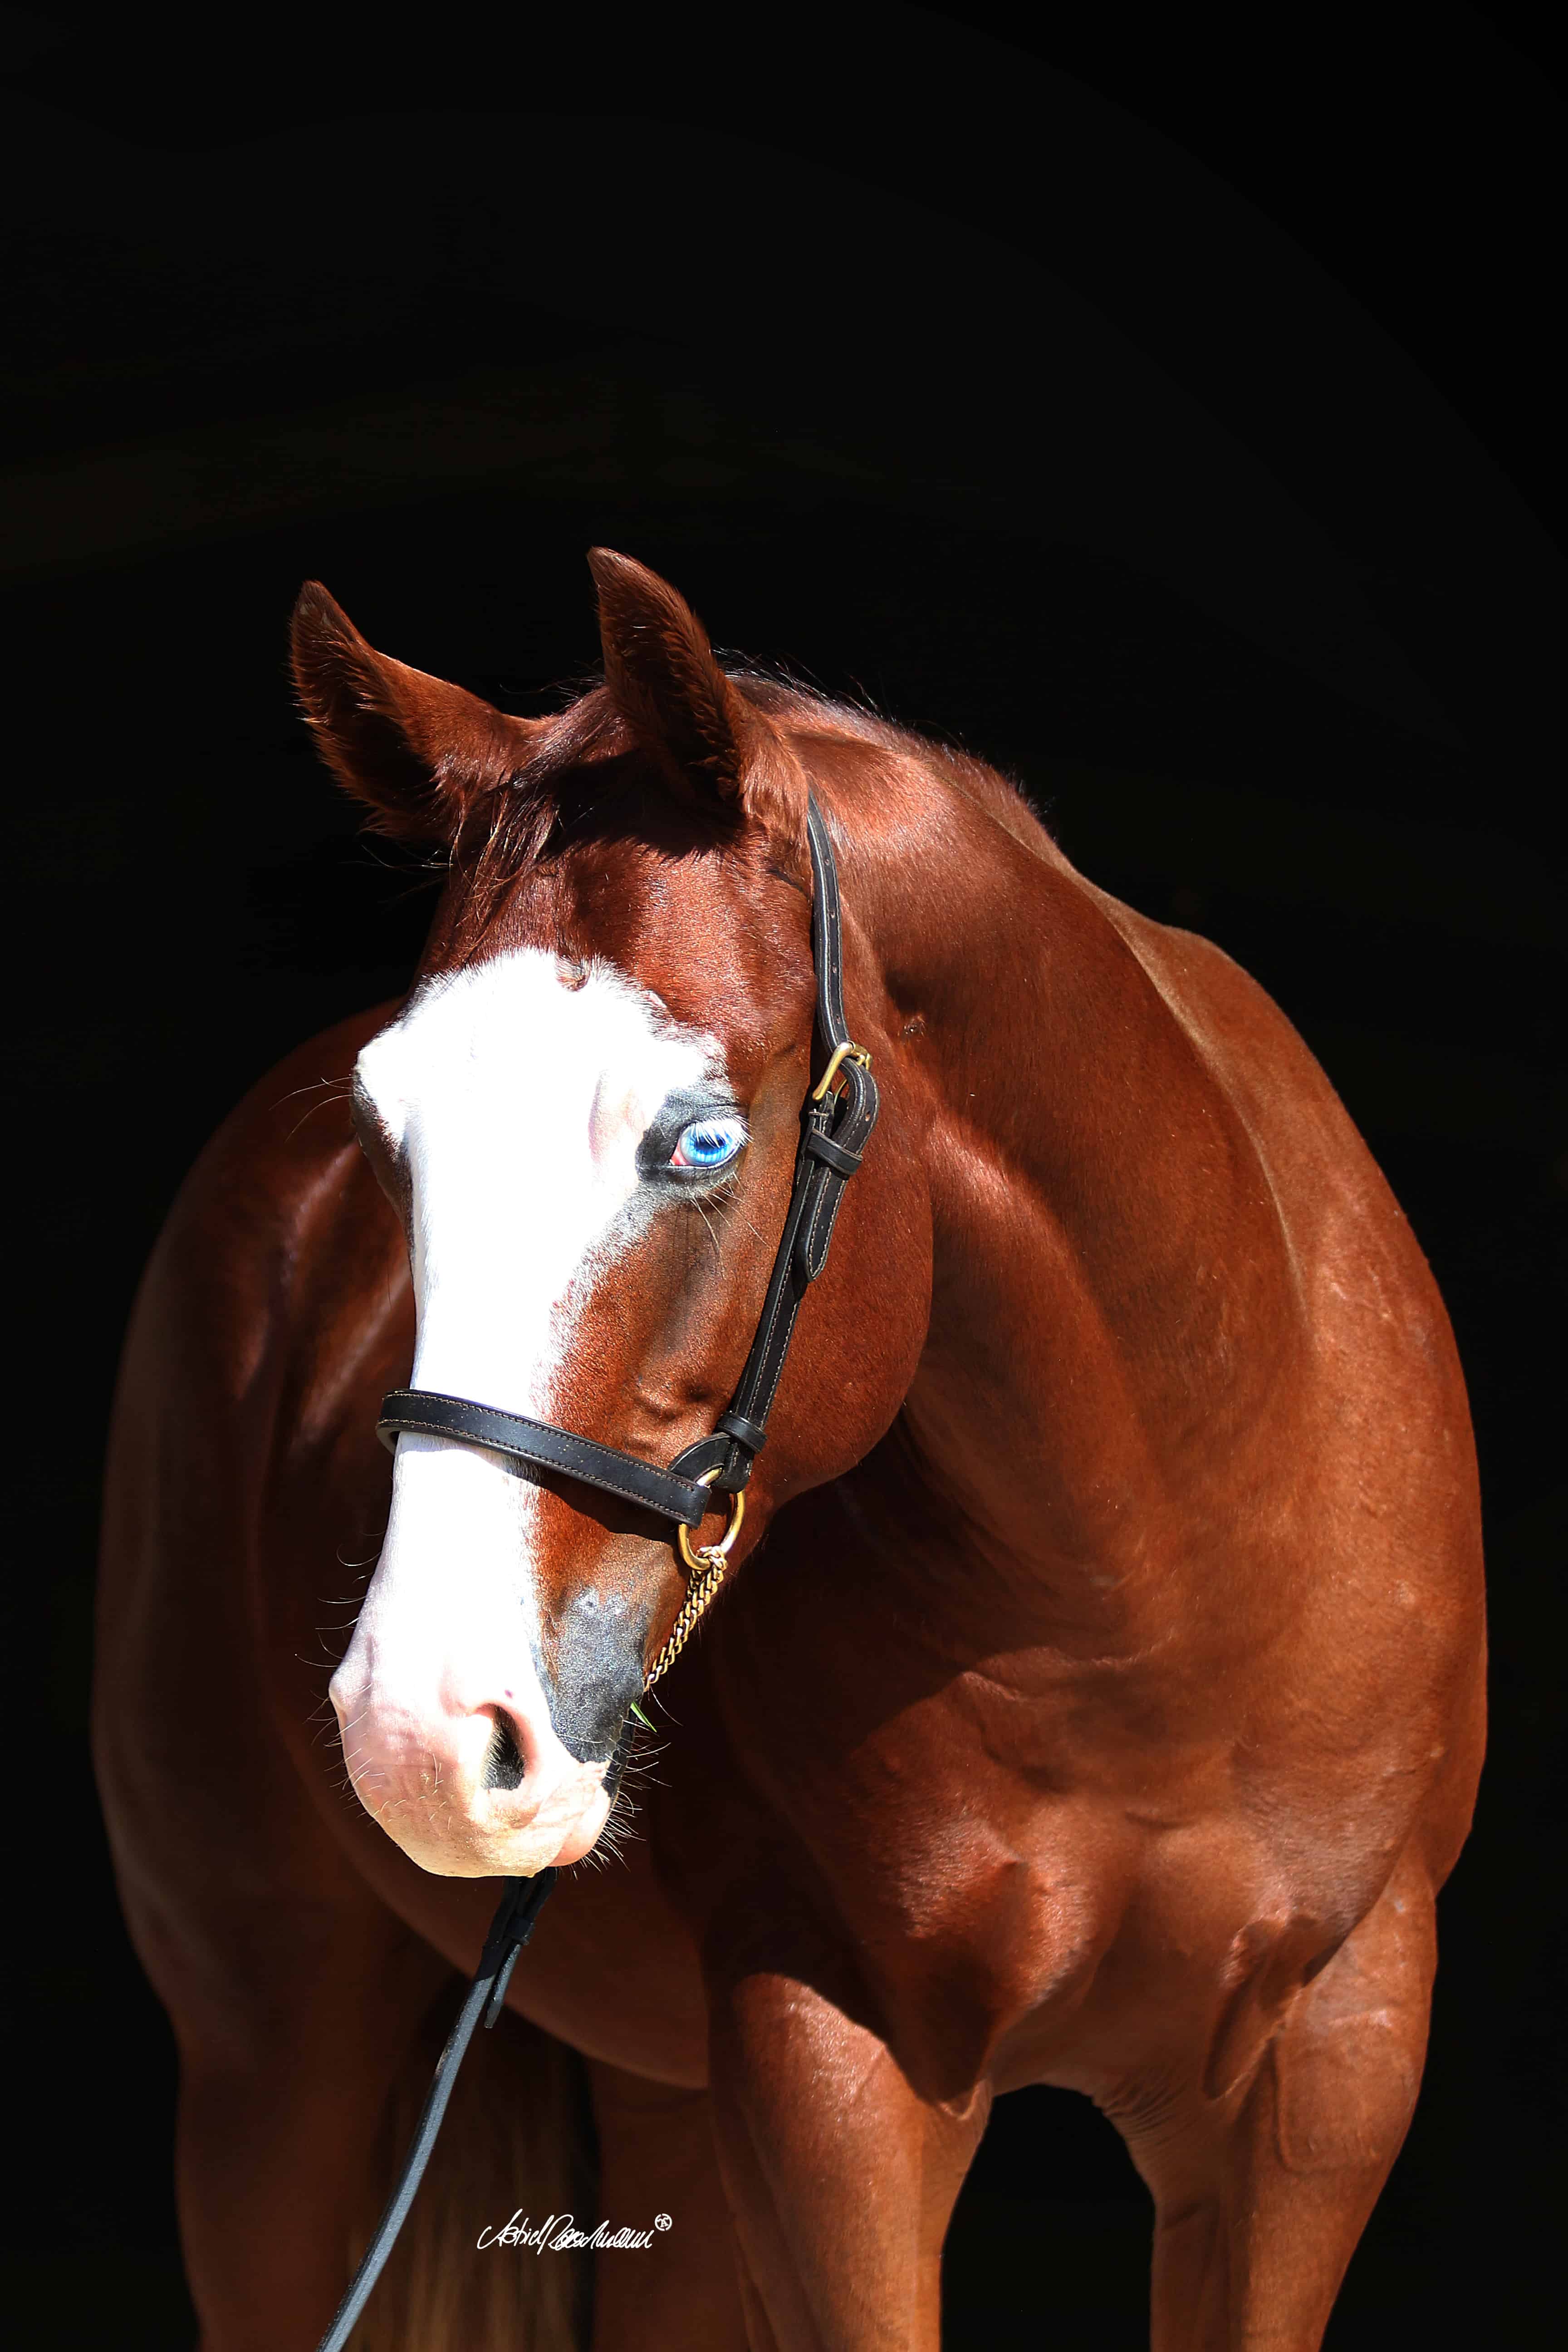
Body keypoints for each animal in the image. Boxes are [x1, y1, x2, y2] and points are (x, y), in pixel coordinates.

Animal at [95, 549, 1486, 2352]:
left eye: (700, 1140)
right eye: (386, 1137)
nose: (419, 1734)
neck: (1169, 1593)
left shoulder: (1328, 2066)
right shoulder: (826, 2067)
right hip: (271, 2052)